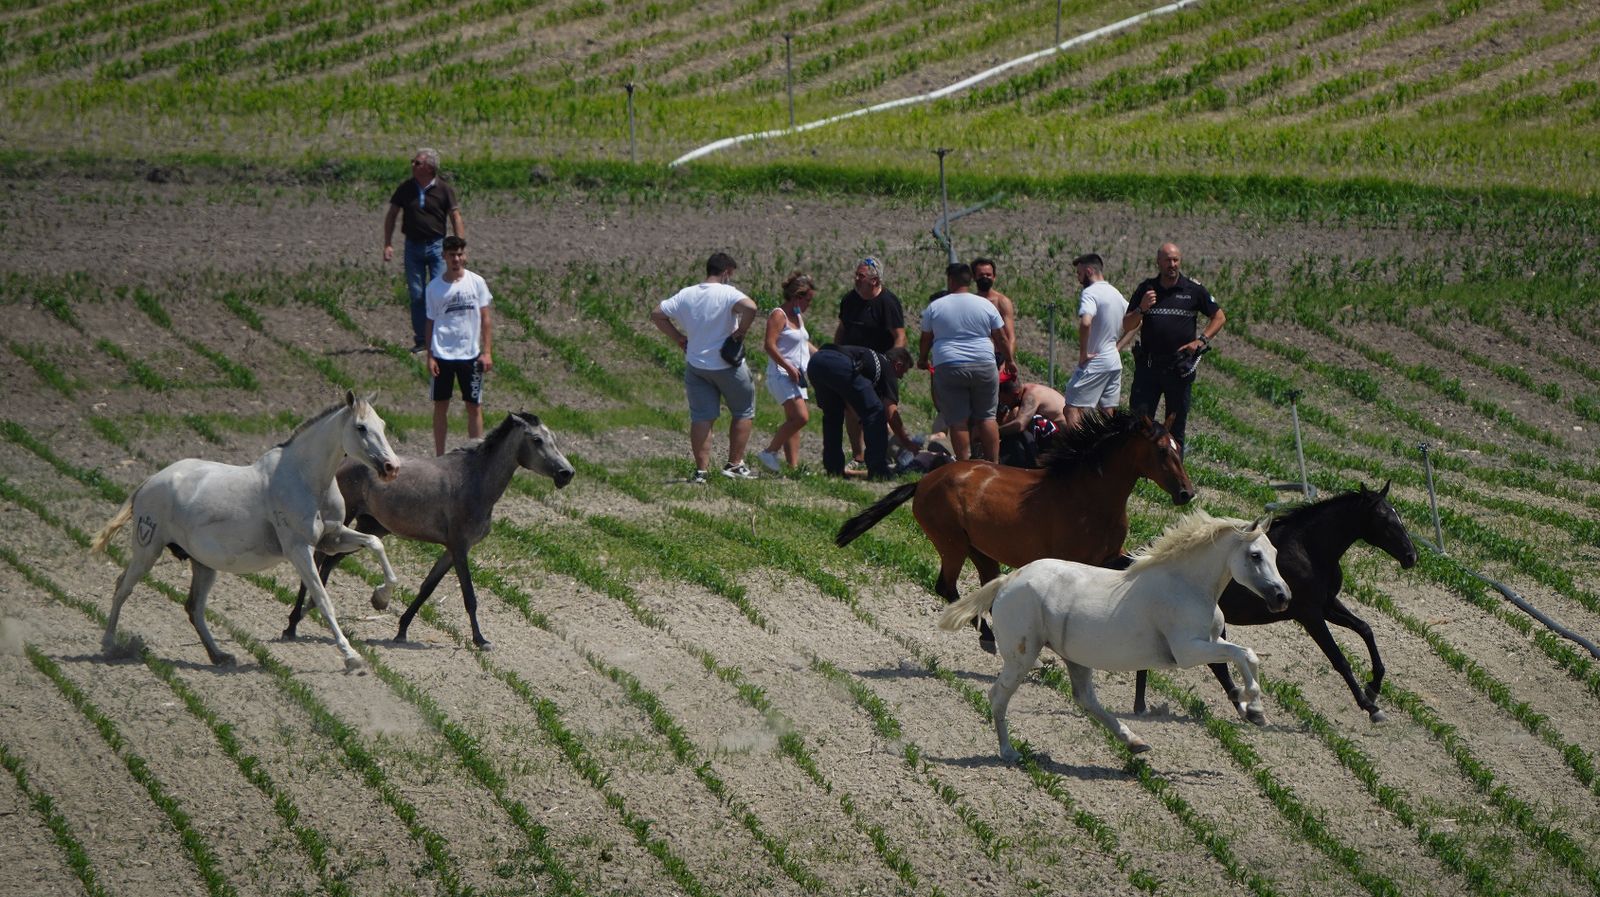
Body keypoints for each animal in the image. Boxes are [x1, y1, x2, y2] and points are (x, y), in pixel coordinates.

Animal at [91, 391, 401, 672]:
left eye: (383, 424)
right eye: (361, 427)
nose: (392, 467)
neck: (305, 479)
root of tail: (148, 482)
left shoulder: (332, 538)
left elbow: (375, 543)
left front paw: (381, 598)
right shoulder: (299, 550)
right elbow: (323, 600)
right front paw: (352, 657)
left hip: (203, 564)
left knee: (194, 608)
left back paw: (219, 656)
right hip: (148, 549)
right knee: (123, 587)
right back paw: (110, 645)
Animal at [284, 412, 575, 649]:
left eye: (553, 438)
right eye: (537, 440)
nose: (567, 473)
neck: (475, 481)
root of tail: (342, 462)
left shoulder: (451, 550)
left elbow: (427, 588)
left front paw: (401, 630)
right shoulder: (459, 547)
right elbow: (469, 595)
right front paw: (481, 640)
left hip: (371, 526)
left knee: (329, 562)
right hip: (346, 519)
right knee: (317, 560)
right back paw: (292, 625)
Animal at [836, 413, 1195, 650]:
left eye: (1180, 448)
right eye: (1163, 450)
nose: (1187, 493)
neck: (1089, 495)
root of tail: (923, 482)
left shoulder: (1109, 557)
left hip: (980, 550)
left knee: (985, 587)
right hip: (952, 543)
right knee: (946, 586)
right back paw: (986, 634)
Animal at [939, 512, 1289, 761]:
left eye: (1274, 553)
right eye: (1255, 555)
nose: (1282, 597)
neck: (1186, 585)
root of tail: (1008, 580)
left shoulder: (1212, 642)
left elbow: (1245, 655)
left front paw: (1252, 710)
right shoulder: (1189, 651)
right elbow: (1244, 654)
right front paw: (1253, 706)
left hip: (1074, 657)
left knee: (1085, 699)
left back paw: (1134, 742)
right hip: (1022, 657)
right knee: (998, 696)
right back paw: (1008, 752)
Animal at [1133, 482, 1417, 723]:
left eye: (1398, 517)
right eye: (1385, 520)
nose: (1411, 556)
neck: (1309, 549)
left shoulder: (1327, 605)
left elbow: (1365, 629)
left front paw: (1373, 687)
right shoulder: (1310, 614)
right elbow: (1339, 659)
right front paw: (1370, 707)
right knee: (1215, 663)